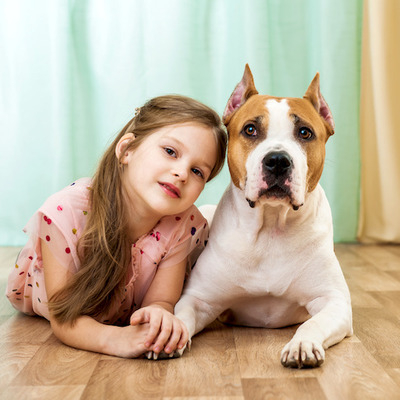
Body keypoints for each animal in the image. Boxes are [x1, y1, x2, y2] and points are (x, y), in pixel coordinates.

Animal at [173, 64, 352, 368]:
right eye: (250, 129)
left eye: (305, 132)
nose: (278, 160)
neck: (270, 226)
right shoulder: (198, 299)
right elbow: (179, 316)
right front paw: (164, 333)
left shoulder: (334, 301)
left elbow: (313, 322)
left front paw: (302, 344)